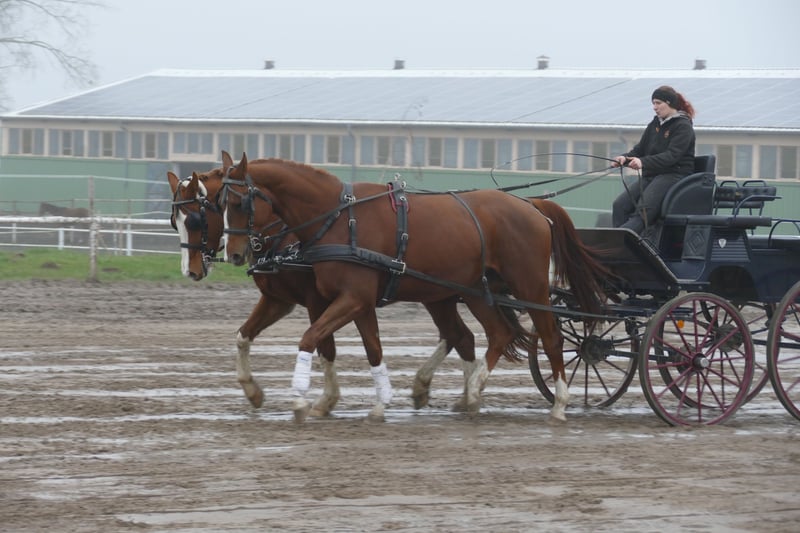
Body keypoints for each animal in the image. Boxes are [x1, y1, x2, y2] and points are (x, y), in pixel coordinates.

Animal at [168, 169, 479, 418]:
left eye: (195, 220)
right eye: (174, 222)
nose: (190, 271)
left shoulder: (318, 300)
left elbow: (325, 347)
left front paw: (325, 400)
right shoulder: (278, 299)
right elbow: (243, 335)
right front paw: (253, 391)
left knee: (462, 335)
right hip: (438, 296)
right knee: (458, 335)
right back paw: (437, 389)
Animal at [219, 151, 610, 422]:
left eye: (239, 202)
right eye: (220, 202)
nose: (233, 253)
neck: (341, 218)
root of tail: (532, 205)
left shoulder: (352, 298)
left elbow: (311, 339)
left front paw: (301, 399)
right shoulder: (358, 301)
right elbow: (372, 349)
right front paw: (379, 404)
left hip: (530, 287)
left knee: (551, 338)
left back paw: (559, 403)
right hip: (475, 290)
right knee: (495, 334)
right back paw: (472, 393)